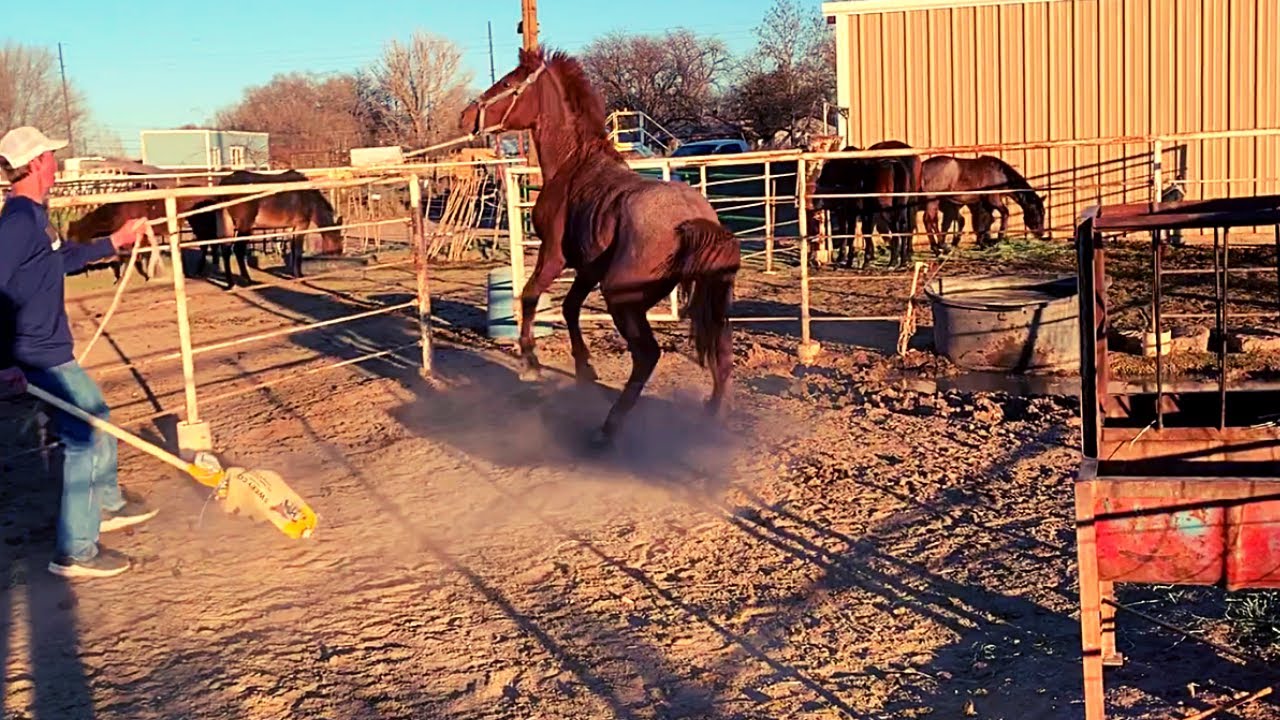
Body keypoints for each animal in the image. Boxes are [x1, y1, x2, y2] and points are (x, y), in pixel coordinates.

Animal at [187, 170, 344, 290]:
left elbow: (292, 250)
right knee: (238, 251)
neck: (309, 198)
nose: (339, 252)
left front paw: (293, 274)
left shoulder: (290, 228)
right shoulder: (301, 226)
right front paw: (299, 276)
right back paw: (248, 281)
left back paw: (231, 284)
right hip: (245, 226)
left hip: (228, 224)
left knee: (225, 250)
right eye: (339, 237)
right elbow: (298, 251)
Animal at [459, 47, 740, 447]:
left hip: (622, 298)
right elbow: (570, 308)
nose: (466, 117)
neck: (574, 165)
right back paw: (712, 415)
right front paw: (584, 369)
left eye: (509, 82)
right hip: (707, 296)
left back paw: (608, 429)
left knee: (647, 355)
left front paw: (531, 363)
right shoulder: (588, 267)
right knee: (721, 347)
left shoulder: (555, 255)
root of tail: (692, 220)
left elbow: (530, 297)